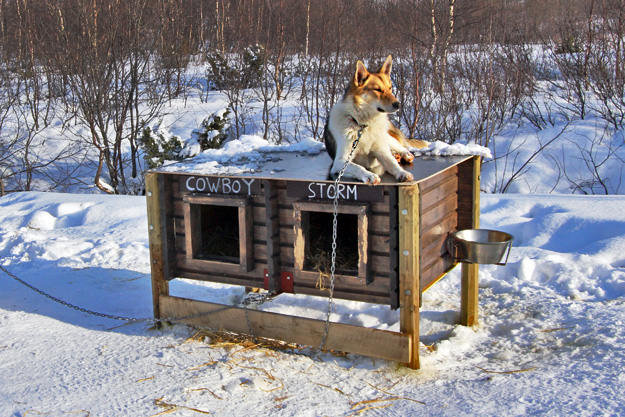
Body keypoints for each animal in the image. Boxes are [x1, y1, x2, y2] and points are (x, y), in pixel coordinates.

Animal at [324, 54, 426, 184]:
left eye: (390, 88)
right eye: (377, 89)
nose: (398, 104)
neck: (363, 125)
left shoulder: (382, 152)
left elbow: (393, 164)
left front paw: (402, 172)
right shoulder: (340, 161)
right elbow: (358, 167)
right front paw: (369, 175)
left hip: (386, 138)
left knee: (399, 146)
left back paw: (404, 154)